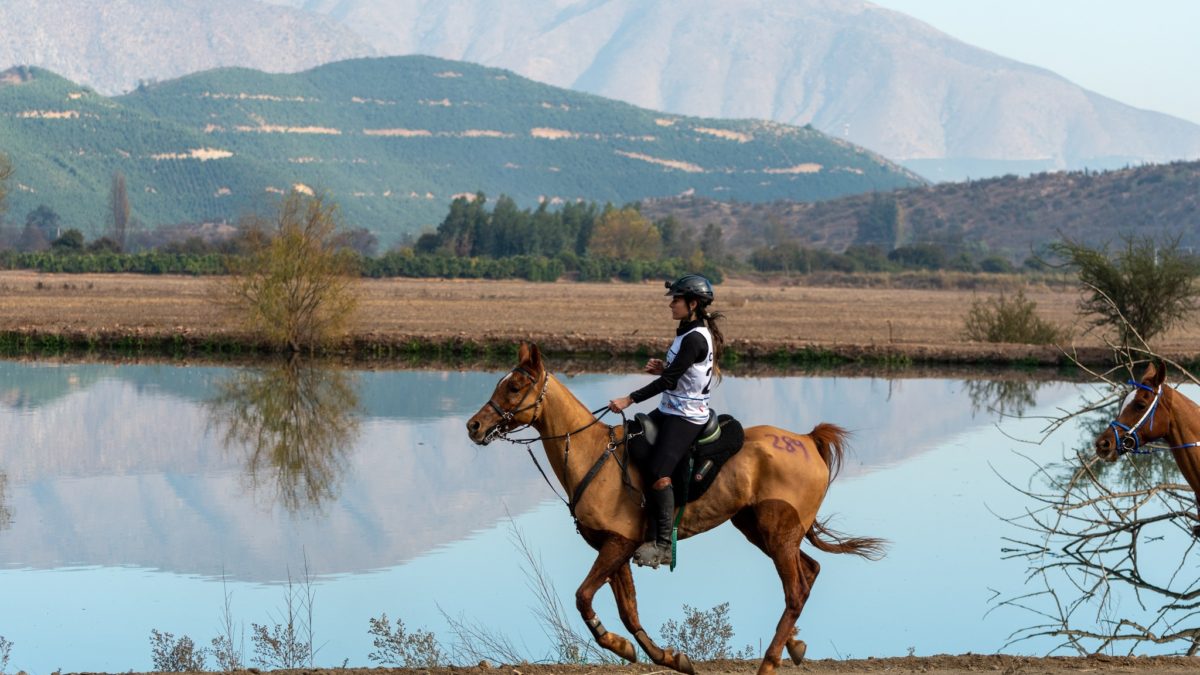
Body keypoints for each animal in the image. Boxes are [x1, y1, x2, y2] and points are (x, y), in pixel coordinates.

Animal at [463, 343, 888, 667]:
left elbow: (584, 597)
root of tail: (806, 440)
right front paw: (662, 656)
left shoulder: (616, 545)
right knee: (809, 572)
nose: (474, 427)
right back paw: (794, 644)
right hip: (758, 527)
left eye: (515, 386)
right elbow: (628, 612)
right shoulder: (616, 547)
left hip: (776, 530)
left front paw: (619, 644)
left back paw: (770, 661)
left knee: (796, 590)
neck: (591, 454)